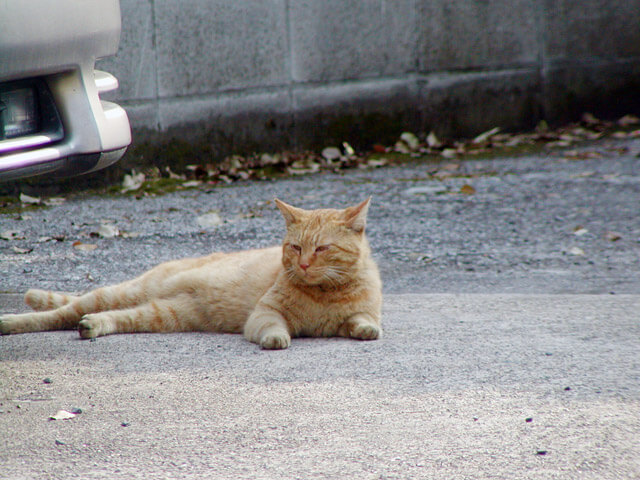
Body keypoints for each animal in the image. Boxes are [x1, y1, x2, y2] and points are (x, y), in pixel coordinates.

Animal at [0, 197, 380, 350]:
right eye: (296, 247)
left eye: (322, 249)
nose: (302, 265)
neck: (323, 293)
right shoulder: (264, 314)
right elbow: (273, 327)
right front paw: (277, 339)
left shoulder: (364, 312)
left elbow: (363, 322)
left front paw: (364, 330)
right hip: (125, 293)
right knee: (60, 313)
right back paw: (10, 322)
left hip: (163, 315)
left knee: (113, 317)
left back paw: (92, 326)